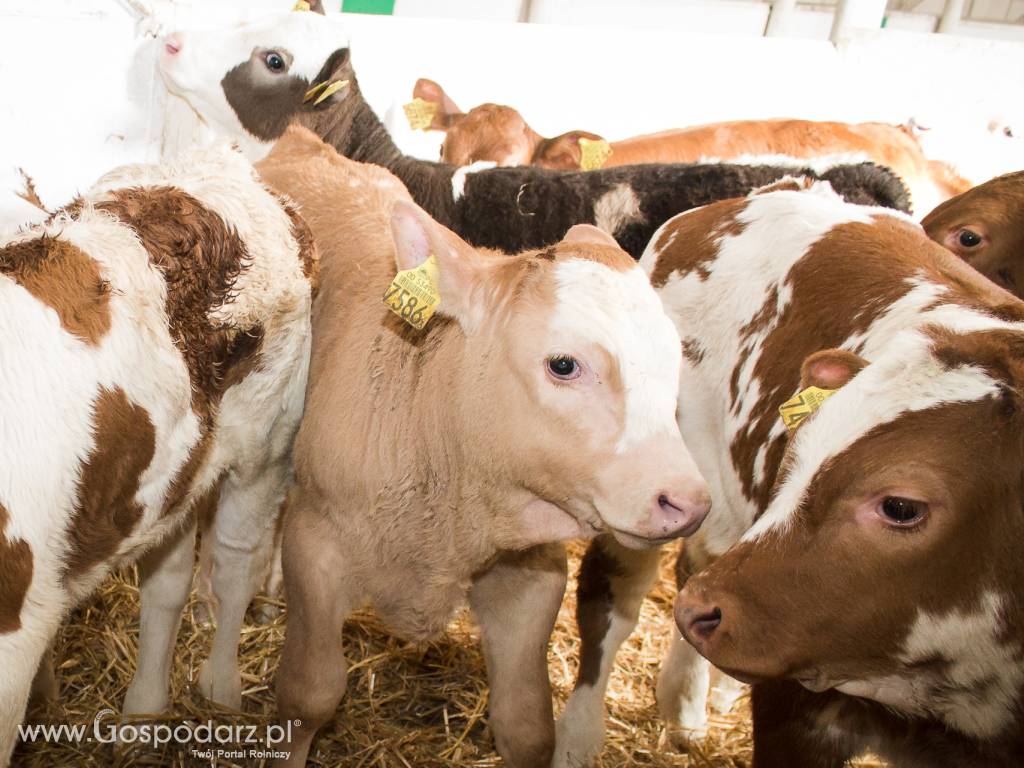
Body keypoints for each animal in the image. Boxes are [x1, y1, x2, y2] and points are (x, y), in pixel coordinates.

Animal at [0, 145, 315, 768]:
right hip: (172, 474)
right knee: (166, 582)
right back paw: (141, 714)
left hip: (267, 444)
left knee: (237, 562)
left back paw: (221, 692)